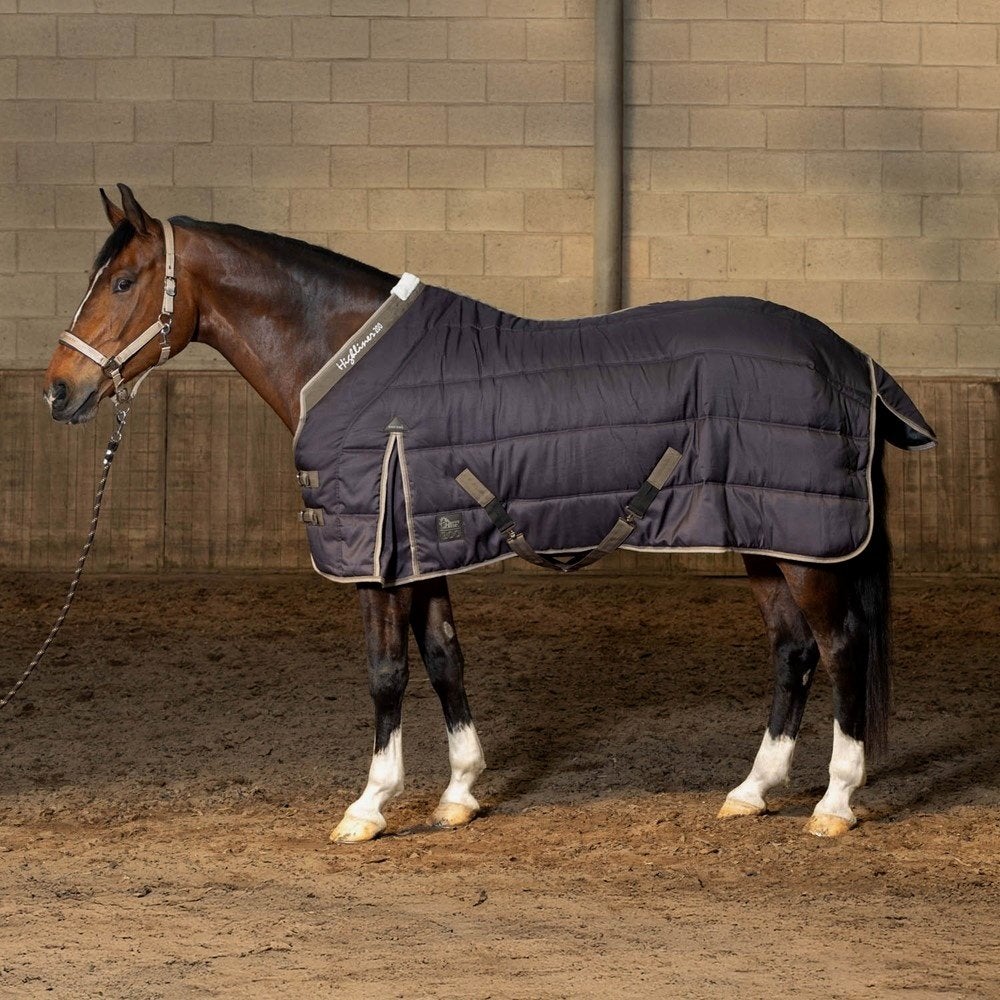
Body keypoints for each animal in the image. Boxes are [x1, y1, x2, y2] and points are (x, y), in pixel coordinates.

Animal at [43, 185, 935, 842]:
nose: (58, 389)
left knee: (840, 648)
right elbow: (445, 659)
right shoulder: (421, 543)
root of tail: (849, 357)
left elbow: (387, 672)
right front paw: (460, 794)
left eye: (122, 283)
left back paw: (834, 804)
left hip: (807, 547)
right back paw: (752, 790)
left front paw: (369, 807)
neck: (342, 355)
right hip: (767, 535)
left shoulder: (376, 557)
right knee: (793, 651)